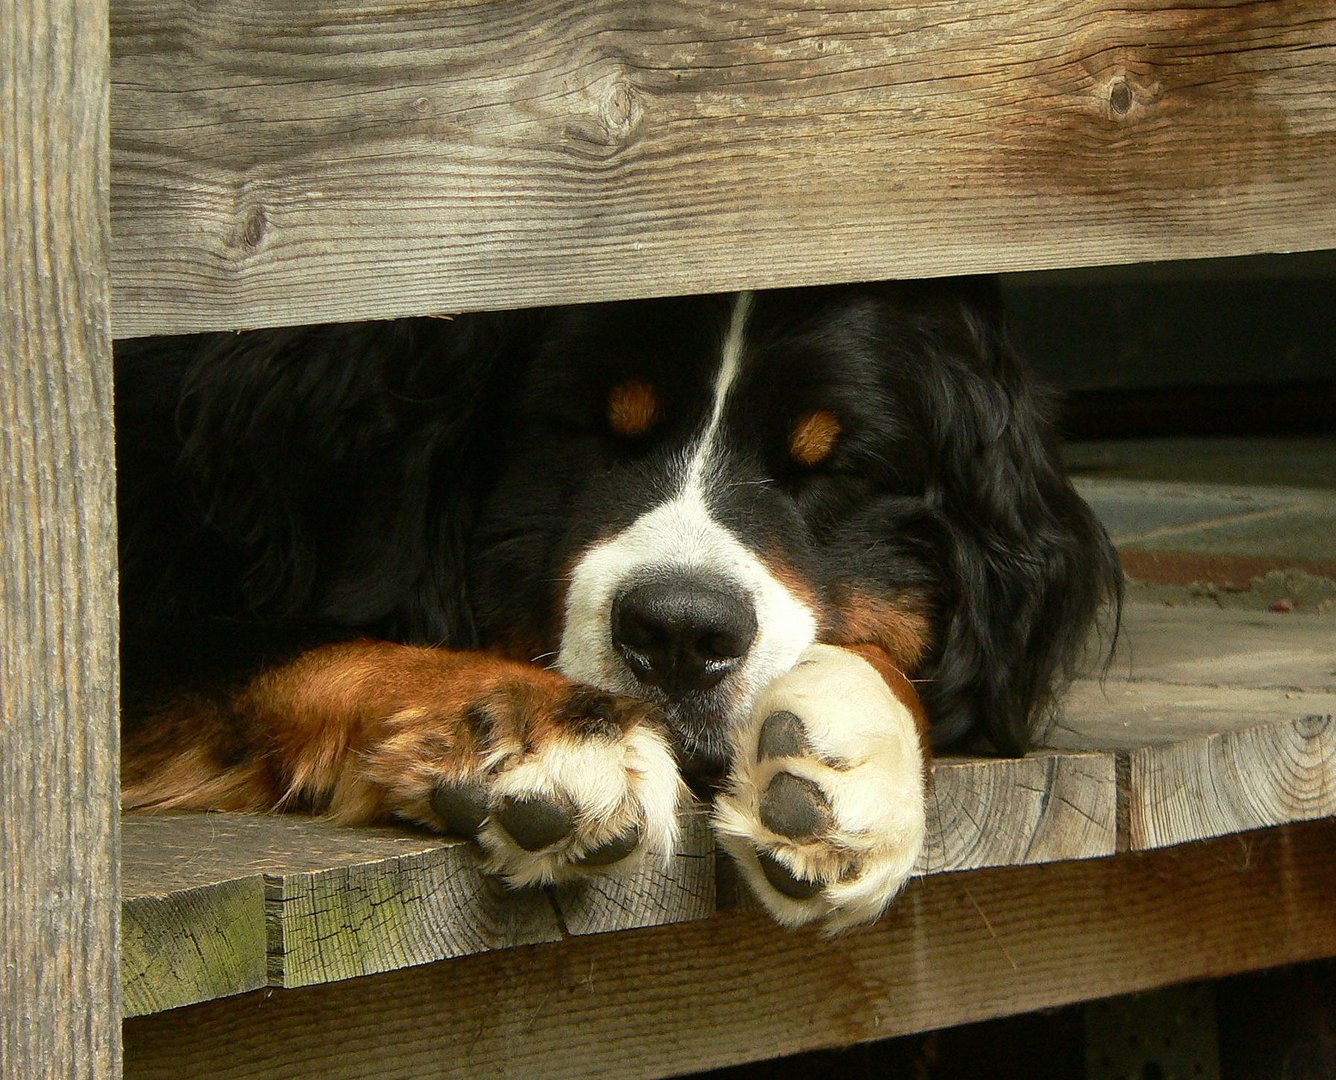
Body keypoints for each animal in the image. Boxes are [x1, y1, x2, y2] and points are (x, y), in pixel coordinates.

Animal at [114, 276, 1122, 930]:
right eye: (590, 434)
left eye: (827, 467)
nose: (680, 632)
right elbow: (304, 646)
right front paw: (537, 732)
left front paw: (849, 757)